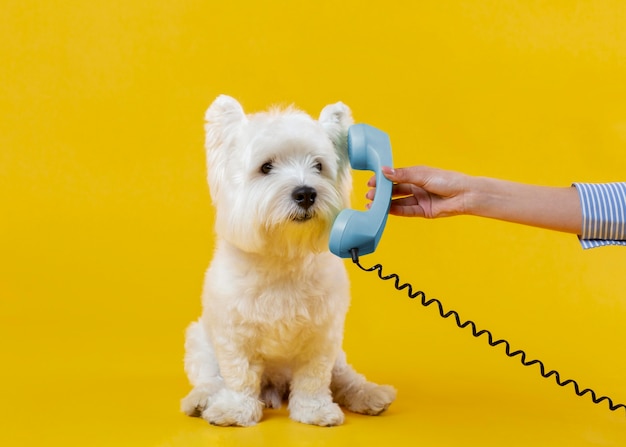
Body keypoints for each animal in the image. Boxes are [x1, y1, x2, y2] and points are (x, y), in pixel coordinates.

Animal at [180, 95, 394, 428]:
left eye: (318, 166)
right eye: (266, 167)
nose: (305, 193)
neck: (282, 255)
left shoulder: (322, 335)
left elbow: (313, 377)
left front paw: (315, 411)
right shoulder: (233, 334)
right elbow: (239, 375)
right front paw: (235, 411)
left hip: (338, 357)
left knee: (344, 377)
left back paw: (370, 394)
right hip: (199, 341)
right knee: (210, 378)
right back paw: (201, 400)